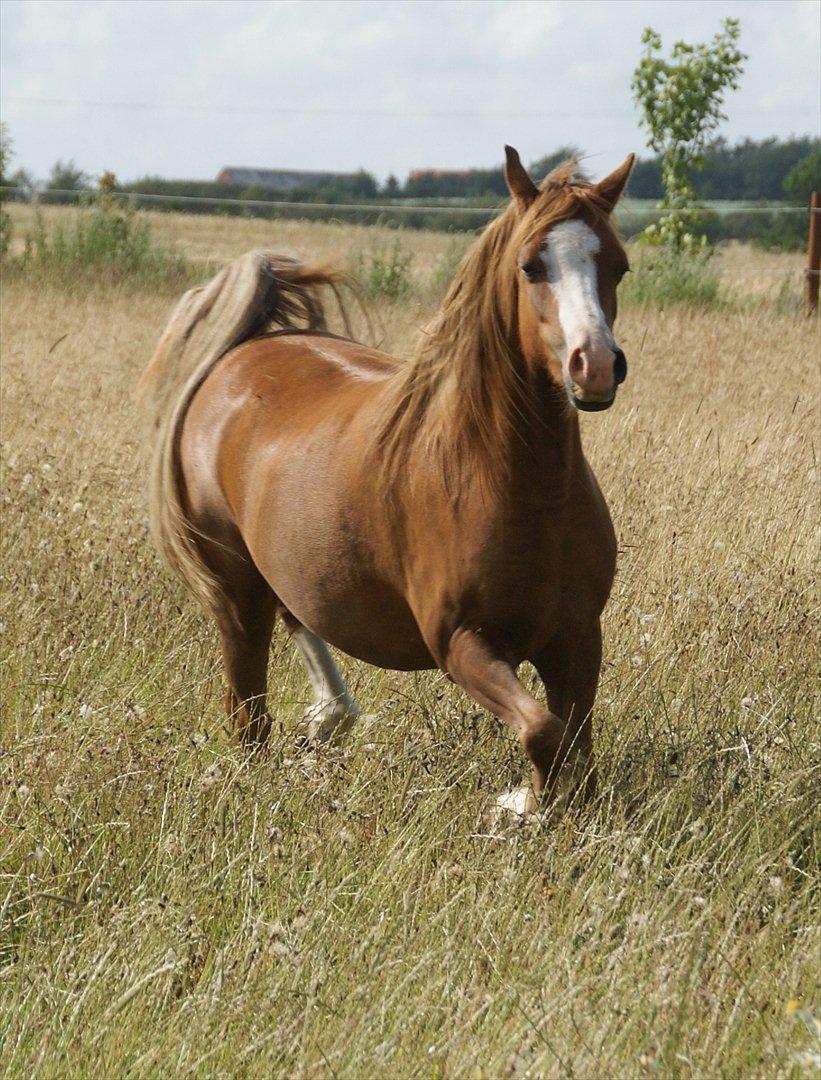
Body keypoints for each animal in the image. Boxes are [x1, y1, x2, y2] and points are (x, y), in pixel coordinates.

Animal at [141, 147, 634, 815]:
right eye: (531, 265)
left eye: (619, 265)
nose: (596, 365)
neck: (512, 485)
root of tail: (239, 353)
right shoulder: (461, 644)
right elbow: (542, 734)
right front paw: (517, 805)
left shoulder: (578, 641)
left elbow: (574, 753)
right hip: (234, 588)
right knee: (248, 710)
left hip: (291, 561)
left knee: (298, 618)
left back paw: (330, 716)